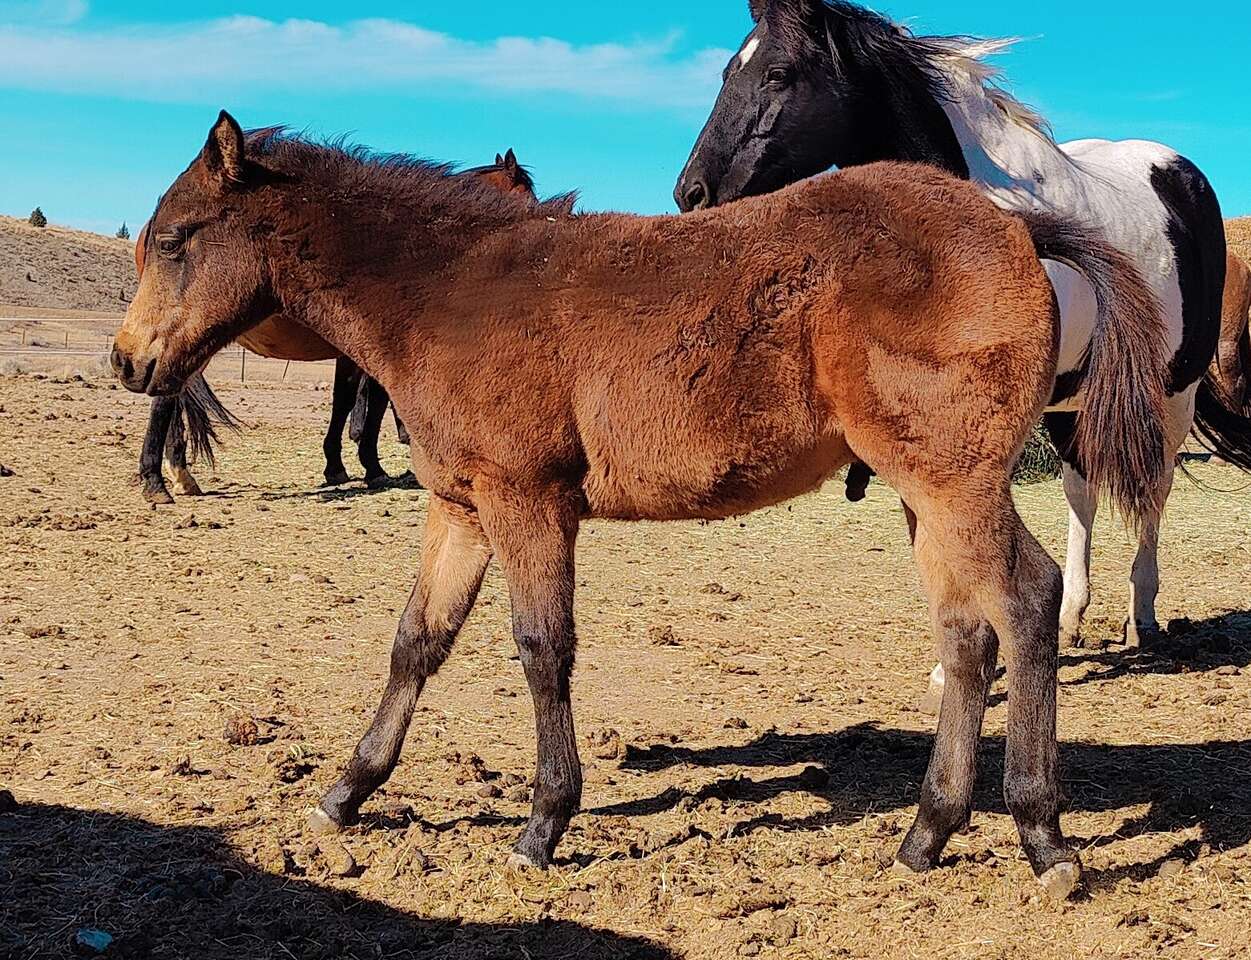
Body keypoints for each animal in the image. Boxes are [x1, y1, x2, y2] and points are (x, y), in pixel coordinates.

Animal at [134, 148, 550, 503]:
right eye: (527, 196)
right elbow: (367, 402)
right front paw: (368, 465)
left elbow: (347, 402)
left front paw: (339, 464)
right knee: (164, 401)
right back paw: (158, 479)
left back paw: (179, 473)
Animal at [675, 0, 1251, 659]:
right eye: (727, 68)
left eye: (778, 73)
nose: (691, 192)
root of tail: (1182, 175)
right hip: (1073, 400)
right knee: (1081, 491)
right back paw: (1072, 618)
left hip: (1173, 390)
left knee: (1154, 487)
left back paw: (1143, 615)